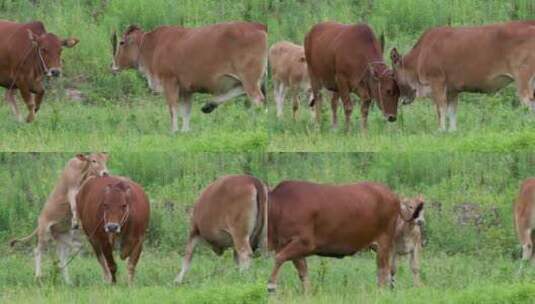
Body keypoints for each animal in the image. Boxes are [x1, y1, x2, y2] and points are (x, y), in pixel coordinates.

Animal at [8, 153, 109, 284]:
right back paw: (38, 276)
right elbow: (74, 206)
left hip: (63, 236)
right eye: (93, 161)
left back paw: (67, 280)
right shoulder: (72, 191)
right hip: (44, 232)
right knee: (38, 251)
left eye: (105, 160)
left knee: (63, 256)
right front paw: (76, 221)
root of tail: (39, 222)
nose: (105, 173)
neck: (82, 171)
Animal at [112, 22, 268, 134]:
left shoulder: (170, 82)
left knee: (257, 99)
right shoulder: (186, 89)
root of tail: (257, 25)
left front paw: (174, 130)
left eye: (121, 42)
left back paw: (257, 123)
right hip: (250, 79)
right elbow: (186, 110)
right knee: (243, 91)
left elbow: (173, 108)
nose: (112, 65)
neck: (152, 46)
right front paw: (185, 130)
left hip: (249, 78)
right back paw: (209, 105)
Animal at [266, 180, 416, 292]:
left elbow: (279, 259)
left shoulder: (304, 242)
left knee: (384, 271)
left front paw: (271, 287)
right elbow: (303, 272)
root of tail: (395, 197)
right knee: (387, 271)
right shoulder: (289, 246)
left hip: (384, 241)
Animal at [390, 21, 535, 131]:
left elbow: (441, 108)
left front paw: (441, 130)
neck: (421, 54)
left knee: (528, 101)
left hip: (523, 78)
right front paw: (452, 130)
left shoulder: (437, 82)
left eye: (394, 76)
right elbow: (452, 110)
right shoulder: (452, 90)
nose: (402, 99)